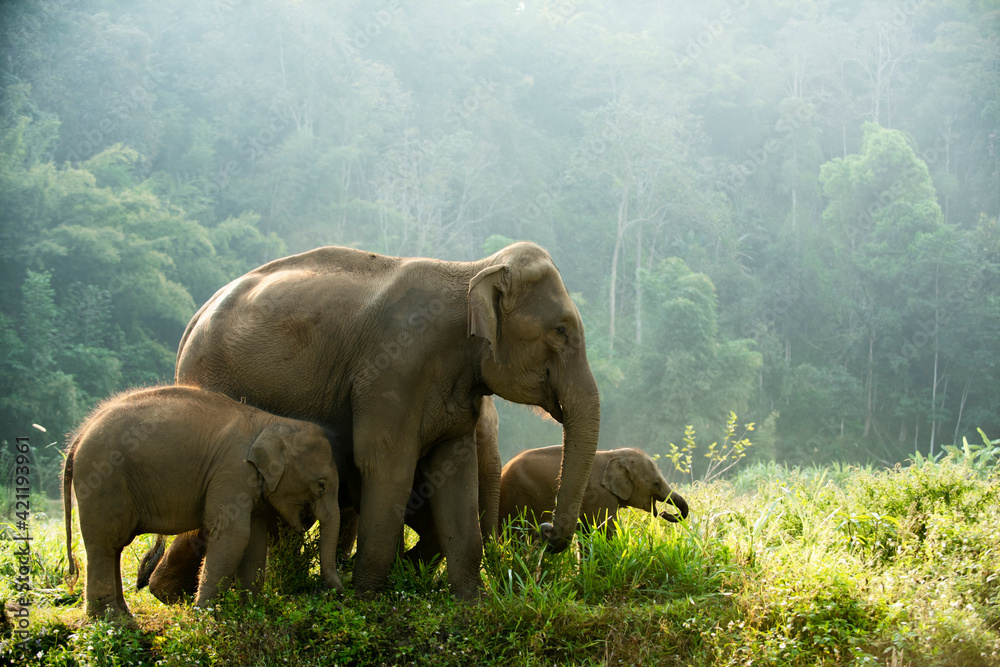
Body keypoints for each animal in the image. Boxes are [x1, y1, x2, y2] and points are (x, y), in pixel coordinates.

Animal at [63, 386, 344, 620]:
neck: (272, 422)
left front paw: (251, 612)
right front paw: (204, 617)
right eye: (321, 485)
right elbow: (233, 535)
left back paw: (122, 617)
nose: (338, 597)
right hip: (103, 479)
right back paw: (112, 622)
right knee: (106, 543)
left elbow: (254, 539)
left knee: (113, 547)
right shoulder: (233, 470)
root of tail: (79, 436)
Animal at [146, 243, 596, 604]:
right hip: (213, 381)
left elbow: (455, 475)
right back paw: (171, 594)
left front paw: (472, 605)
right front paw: (369, 602)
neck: (472, 270)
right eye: (560, 330)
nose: (546, 529)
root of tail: (195, 318)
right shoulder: (392, 371)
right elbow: (386, 465)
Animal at [498, 446, 688, 540]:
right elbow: (606, 529)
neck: (613, 454)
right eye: (656, 484)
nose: (664, 512)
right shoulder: (599, 495)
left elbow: (587, 531)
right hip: (518, 497)